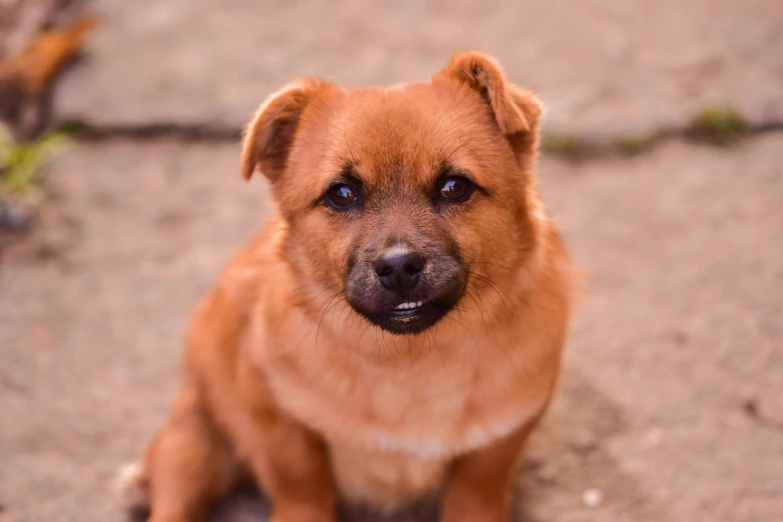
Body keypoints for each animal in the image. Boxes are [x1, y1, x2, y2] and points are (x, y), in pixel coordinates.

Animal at [116, 49, 576, 520]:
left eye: (455, 186)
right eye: (341, 194)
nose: (399, 266)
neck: (410, 362)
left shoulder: (500, 441)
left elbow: (477, 489)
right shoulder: (272, 410)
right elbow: (301, 481)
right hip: (195, 440)